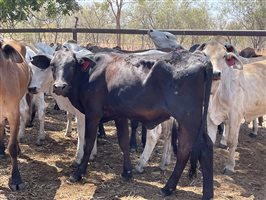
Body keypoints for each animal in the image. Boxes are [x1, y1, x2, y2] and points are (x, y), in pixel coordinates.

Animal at [31, 46, 214, 199]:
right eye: (52, 65)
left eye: (72, 65)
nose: (59, 86)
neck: (89, 74)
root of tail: (200, 58)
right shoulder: (119, 115)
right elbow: (123, 142)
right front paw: (127, 172)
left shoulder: (92, 114)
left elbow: (88, 143)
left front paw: (78, 173)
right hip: (194, 121)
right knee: (201, 148)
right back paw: (202, 192)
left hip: (188, 118)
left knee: (189, 150)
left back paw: (169, 187)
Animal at [202, 39, 266, 173]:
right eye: (205, 54)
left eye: (224, 56)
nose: (215, 73)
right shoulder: (210, 117)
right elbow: (210, 141)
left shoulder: (235, 116)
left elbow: (232, 141)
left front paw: (229, 166)